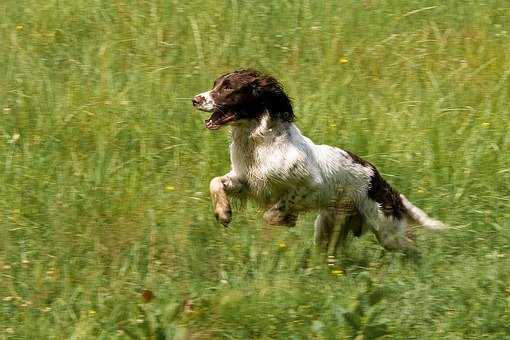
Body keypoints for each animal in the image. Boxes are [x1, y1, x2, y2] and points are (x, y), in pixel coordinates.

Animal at [191, 69, 442, 255]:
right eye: (215, 83)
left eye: (228, 87)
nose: (195, 99)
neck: (258, 143)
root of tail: (379, 179)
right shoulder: (245, 181)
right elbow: (215, 182)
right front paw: (223, 213)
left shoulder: (311, 184)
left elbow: (274, 211)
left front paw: (285, 220)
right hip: (328, 227)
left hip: (385, 228)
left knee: (411, 244)